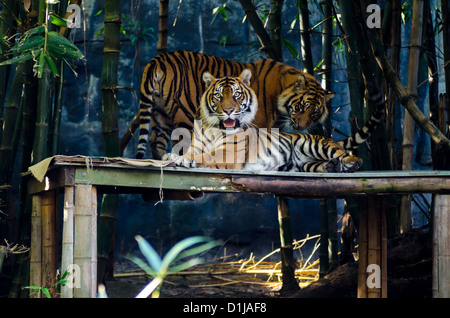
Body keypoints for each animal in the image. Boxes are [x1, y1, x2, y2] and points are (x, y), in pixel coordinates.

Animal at [136, 50, 334, 159]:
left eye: (314, 113)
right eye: (301, 107)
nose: (300, 127)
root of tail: (158, 60)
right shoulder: (258, 123)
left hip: (160, 113)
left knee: (155, 140)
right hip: (184, 113)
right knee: (180, 140)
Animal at [162, 70, 384, 174]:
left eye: (236, 95)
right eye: (218, 96)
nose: (228, 111)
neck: (214, 128)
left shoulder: (229, 153)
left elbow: (206, 156)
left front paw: (181, 160)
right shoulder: (197, 145)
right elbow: (190, 151)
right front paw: (172, 155)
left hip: (315, 144)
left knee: (343, 153)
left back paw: (351, 163)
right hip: (305, 165)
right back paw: (330, 167)